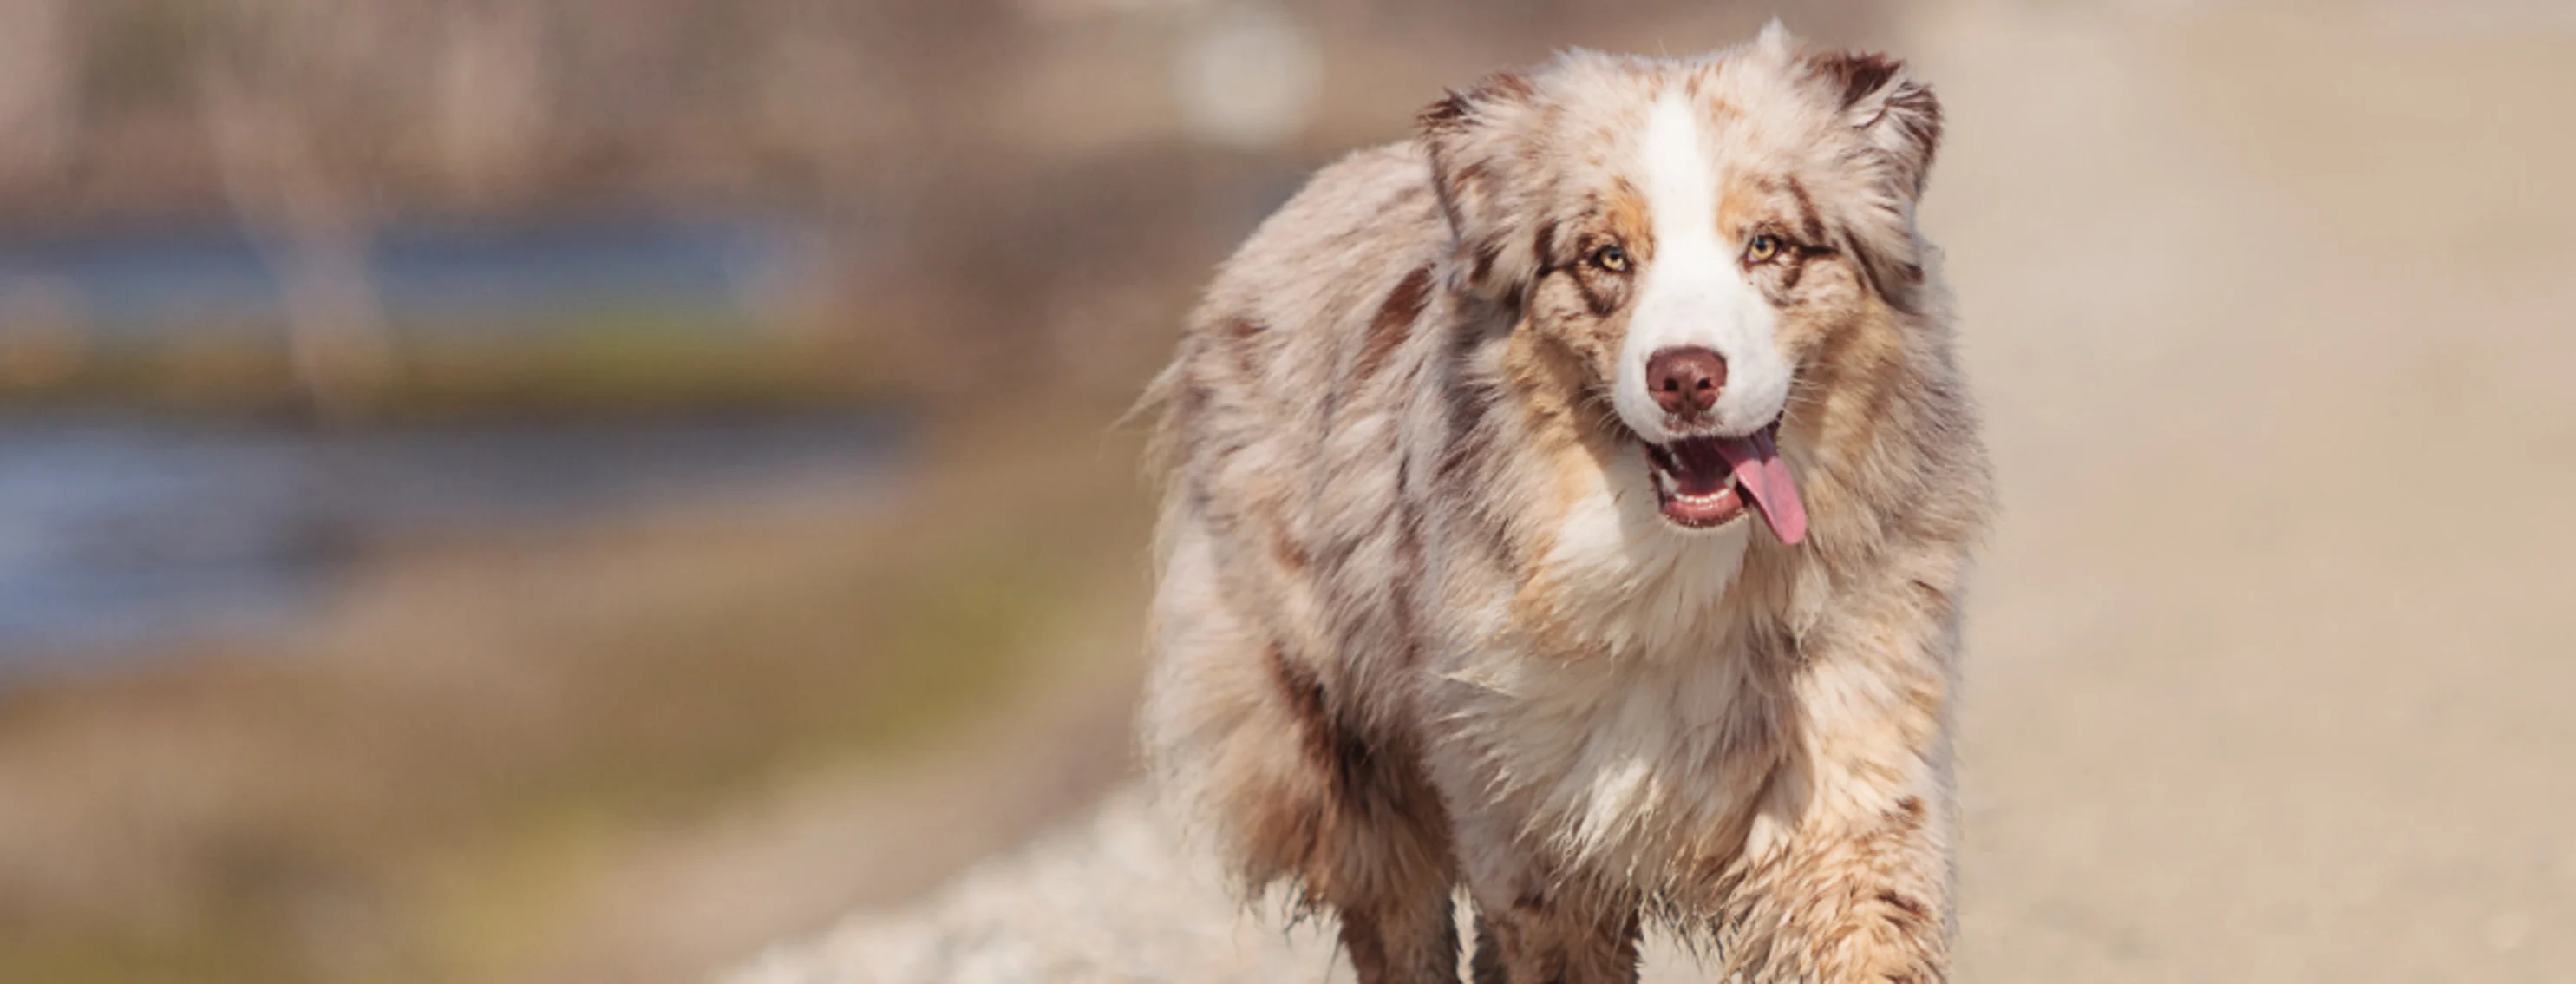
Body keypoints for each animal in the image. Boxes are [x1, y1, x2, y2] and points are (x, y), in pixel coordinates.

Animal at [1128, 24, 1988, 984]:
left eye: (1767, 245)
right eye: (1606, 256)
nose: (1685, 376)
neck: (1678, 576)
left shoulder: (1844, 790)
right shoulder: (1536, 842)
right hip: (1345, 748)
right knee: (1398, 917)